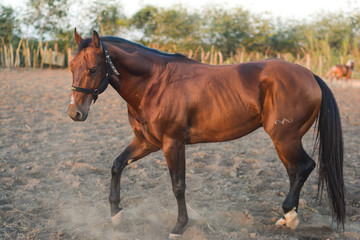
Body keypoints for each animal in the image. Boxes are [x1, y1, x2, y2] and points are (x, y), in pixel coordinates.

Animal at [66, 29, 344, 237]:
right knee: (295, 171)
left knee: (305, 167)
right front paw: (116, 215)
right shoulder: (146, 142)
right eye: (71, 67)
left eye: (93, 69)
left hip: (285, 139)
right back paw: (287, 217)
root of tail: (310, 74)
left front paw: (179, 226)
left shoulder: (173, 143)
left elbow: (178, 185)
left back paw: (290, 216)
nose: (74, 112)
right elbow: (117, 165)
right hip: (285, 142)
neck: (155, 83)